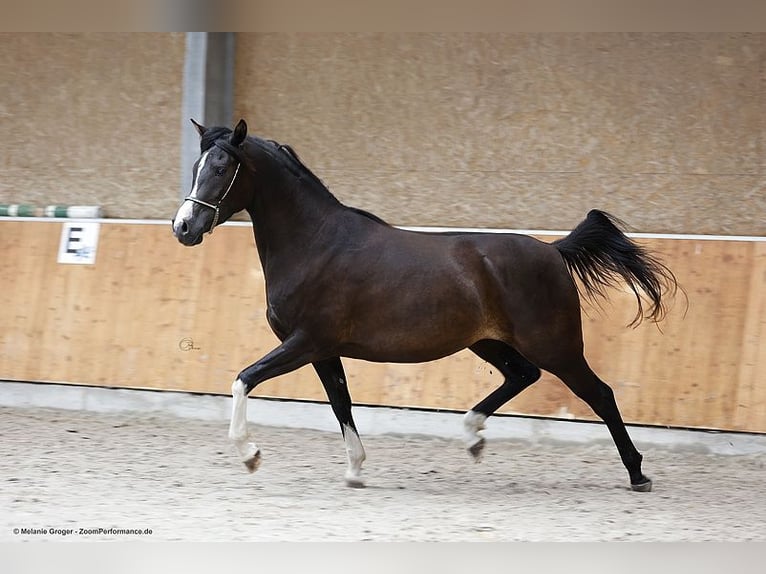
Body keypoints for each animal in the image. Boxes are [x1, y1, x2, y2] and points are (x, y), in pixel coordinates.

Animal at [171, 118, 678, 492]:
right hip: (488, 342)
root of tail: (553, 251)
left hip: (556, 345)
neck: (316, 243)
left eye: (221, 168)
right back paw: (473, 438)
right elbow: (341, 403)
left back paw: (638, 474)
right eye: (197, 164)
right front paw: (355, 470)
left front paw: (250, 455)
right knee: (522, 376)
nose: (183, 228)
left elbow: (244, 379)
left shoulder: (305, 342)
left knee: (600, 394)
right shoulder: (323, 350)